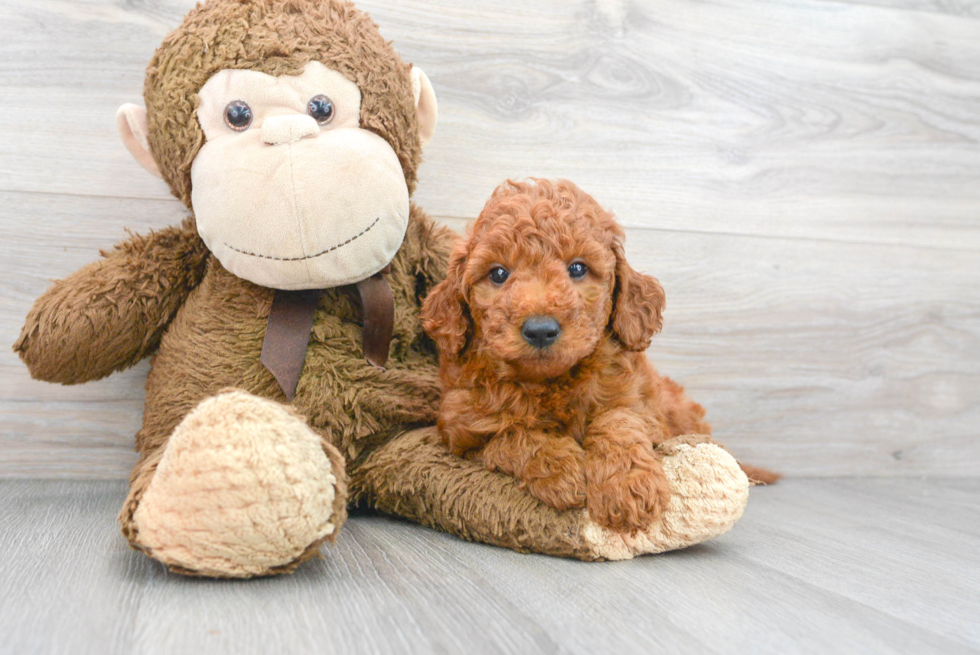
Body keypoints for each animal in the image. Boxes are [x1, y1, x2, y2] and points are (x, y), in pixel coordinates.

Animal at [422, 178, 752, 532]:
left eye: (578, 268)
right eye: (498, 274)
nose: (540, 329)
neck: (551, 382)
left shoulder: (644, 409)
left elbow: (617, 419)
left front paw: (628, 486)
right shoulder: (461, 430)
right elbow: (513, 435)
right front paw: (562, 470)